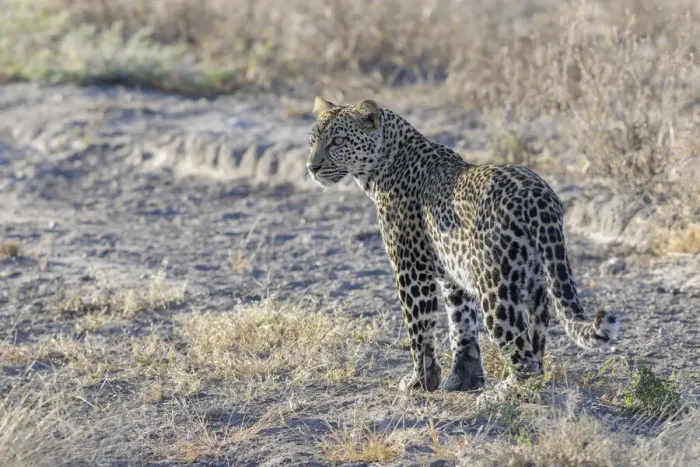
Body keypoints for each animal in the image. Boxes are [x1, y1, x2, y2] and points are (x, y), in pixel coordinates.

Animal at [306, 97, 620, 392]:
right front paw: (464, 378)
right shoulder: (452, 273)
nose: (311, 167)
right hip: (536, 281)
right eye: (312, 140)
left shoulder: (411, 268)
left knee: (520, 353)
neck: (381, 167)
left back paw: (504, 392)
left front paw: (420, 381)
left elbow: (419, 327)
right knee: (536, 340)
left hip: (496, 286)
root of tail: (540, 197)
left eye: (338, 141)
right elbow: (461, 322)